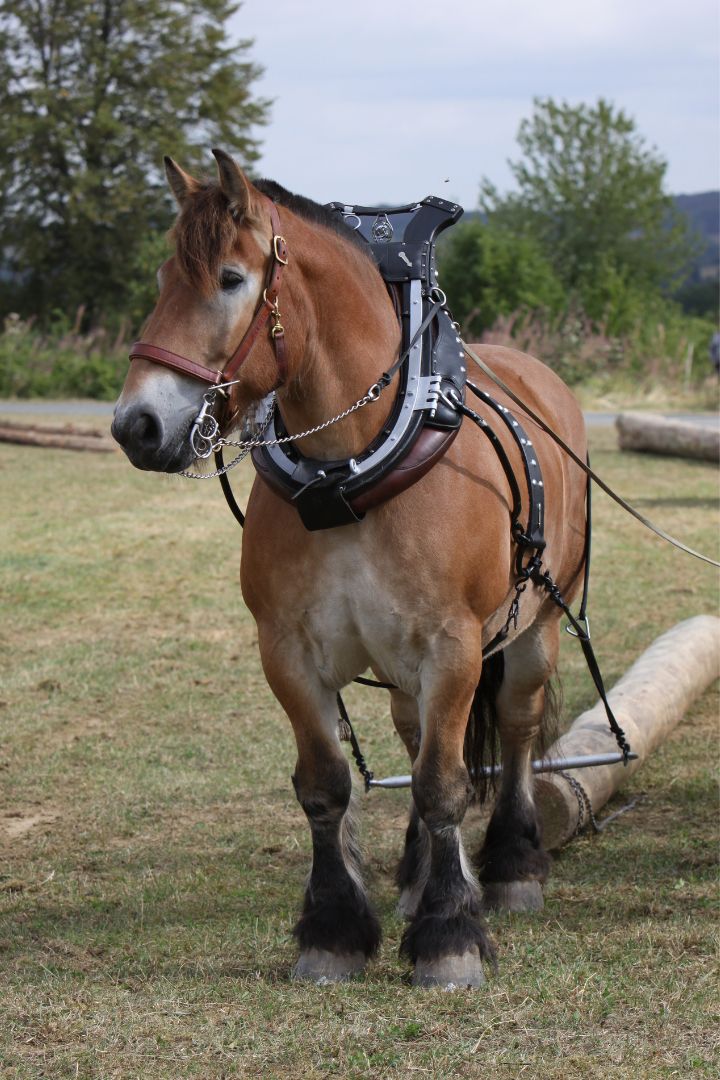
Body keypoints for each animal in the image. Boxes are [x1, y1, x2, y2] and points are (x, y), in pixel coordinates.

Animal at [111, 150, 587, 989]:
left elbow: (443, 783)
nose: (136, 425)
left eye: (230, 279)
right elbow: (327, 786)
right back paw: (419, 876)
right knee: (416, 734)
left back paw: (510, 865)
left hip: (536, 627)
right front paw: (334, 930)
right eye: (166, 275)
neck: (349, 471)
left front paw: (450, 937)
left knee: (517, 726)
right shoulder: (288, 652)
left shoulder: (455, 646)